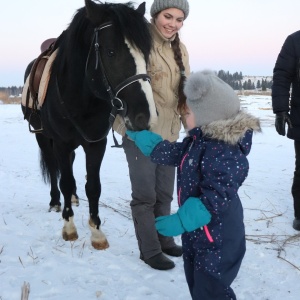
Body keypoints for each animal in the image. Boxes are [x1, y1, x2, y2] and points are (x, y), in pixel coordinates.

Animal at [21, 0, 157, 251]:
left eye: (145, 53)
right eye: (111, 52)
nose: (145, 116)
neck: (82, 98)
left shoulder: (96, 143)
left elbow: (93, 186)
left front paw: (97, 233)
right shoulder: (61, 143)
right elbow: (65, 181)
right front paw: (69, 228)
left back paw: (74, 198)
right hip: (43, 138)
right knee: (54, 169)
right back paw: (55, 201)